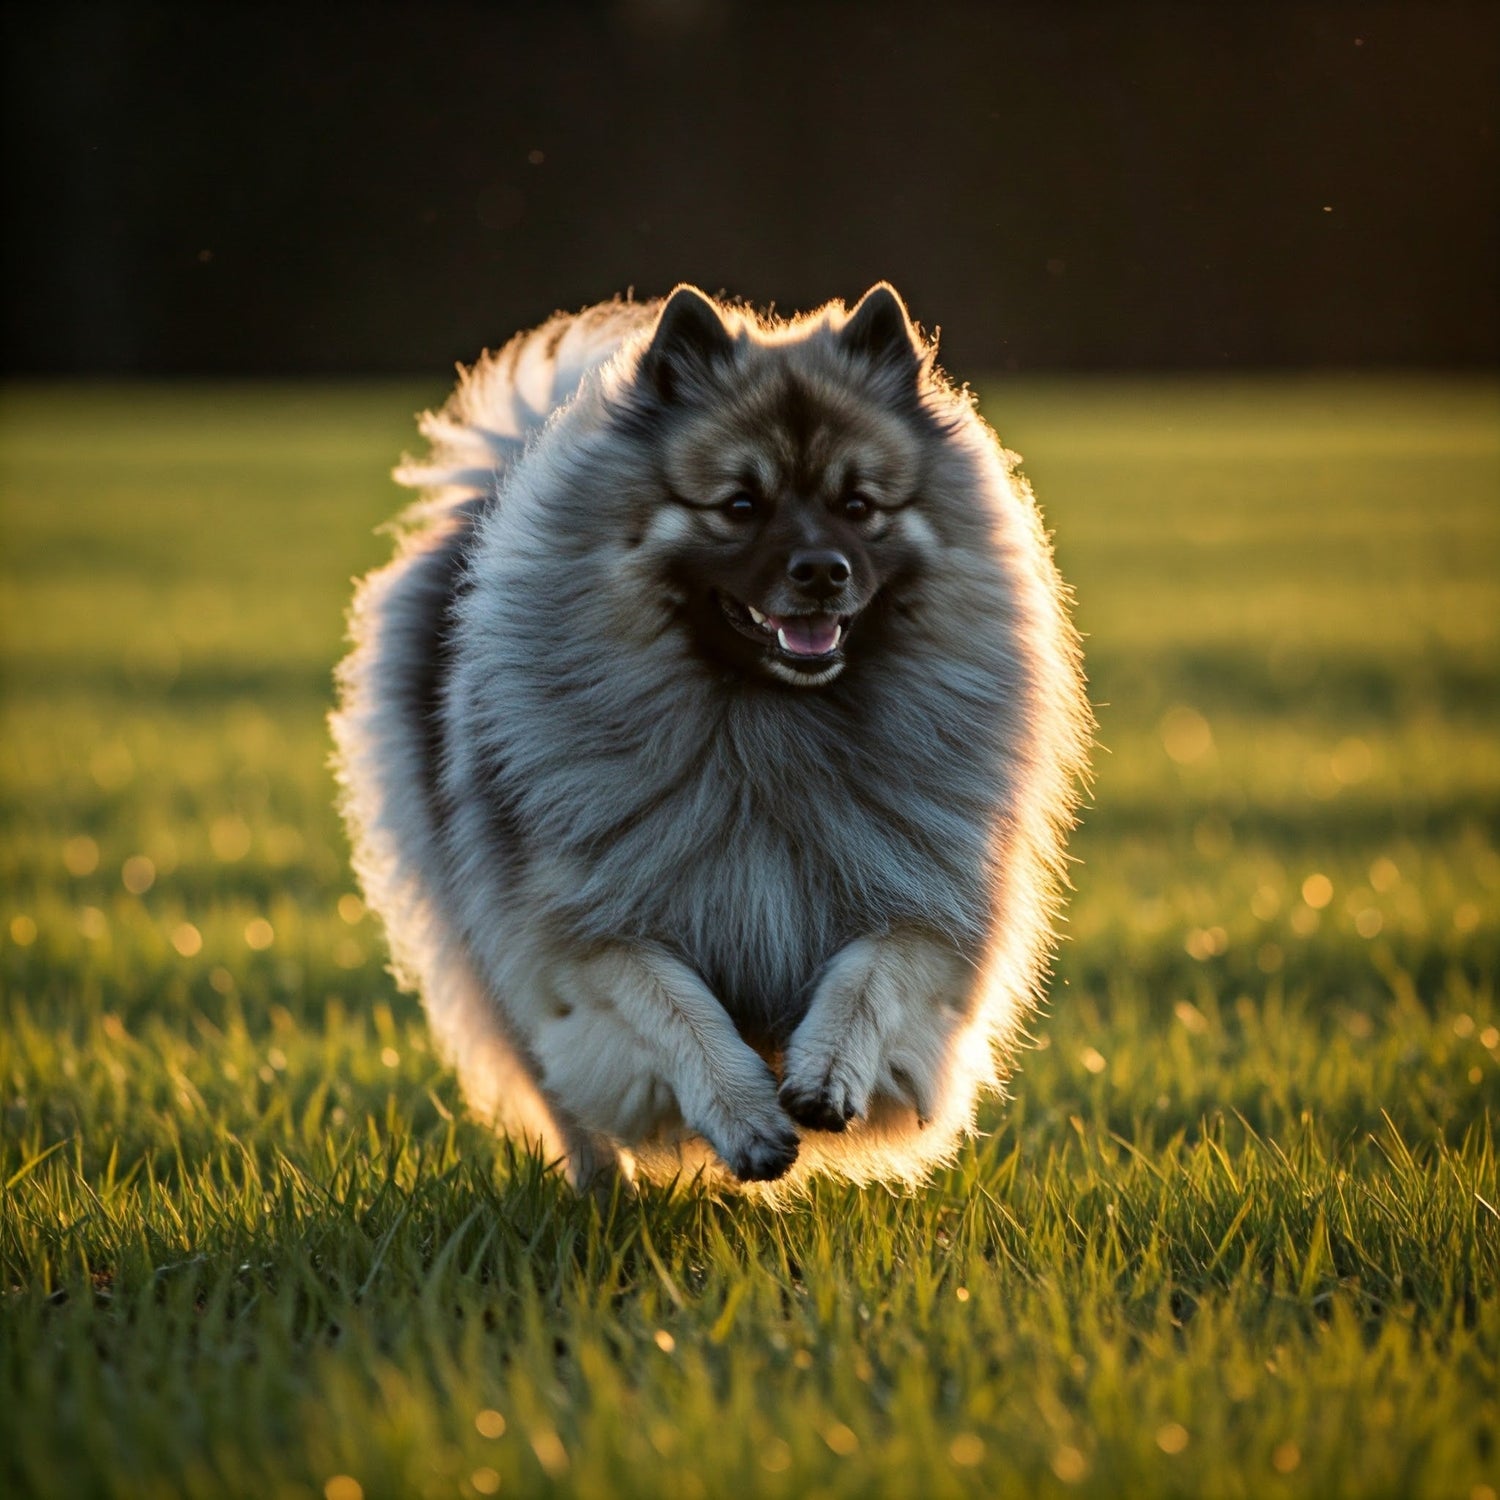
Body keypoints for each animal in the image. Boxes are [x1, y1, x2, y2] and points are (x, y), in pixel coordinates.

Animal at [334, 283, 1092, 1194]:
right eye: (740, 506)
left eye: (858, 506)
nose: (822, 571)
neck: (769, 727)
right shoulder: (586, 936)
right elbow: (674, 1006)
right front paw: (743, 1116)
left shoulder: (926, 909)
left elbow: (869, 974)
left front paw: (826, 1072)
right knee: (558, 1091)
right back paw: (603, 1190)